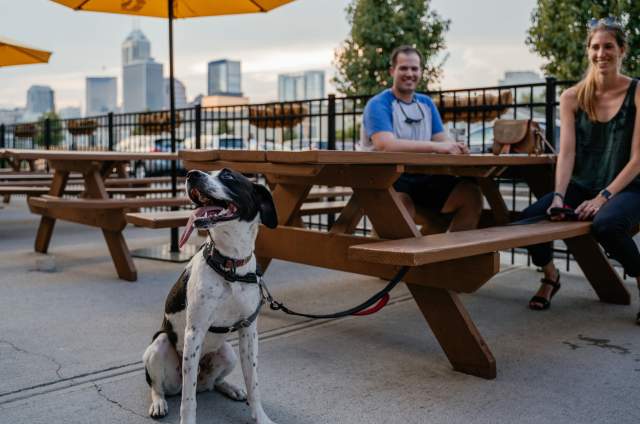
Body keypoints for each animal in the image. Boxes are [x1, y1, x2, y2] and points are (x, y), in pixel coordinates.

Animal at [144, 169, 278, 424]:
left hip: (228, 353)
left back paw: (231, 388)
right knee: (161, 386)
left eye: (228, 176)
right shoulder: (194, 333)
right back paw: (158, 403)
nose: (191, 174)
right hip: (159, 345)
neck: (230, 265)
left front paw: (261, 417)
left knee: (212, 384)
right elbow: (188, 400)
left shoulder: (249, 332)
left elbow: (253, 382)